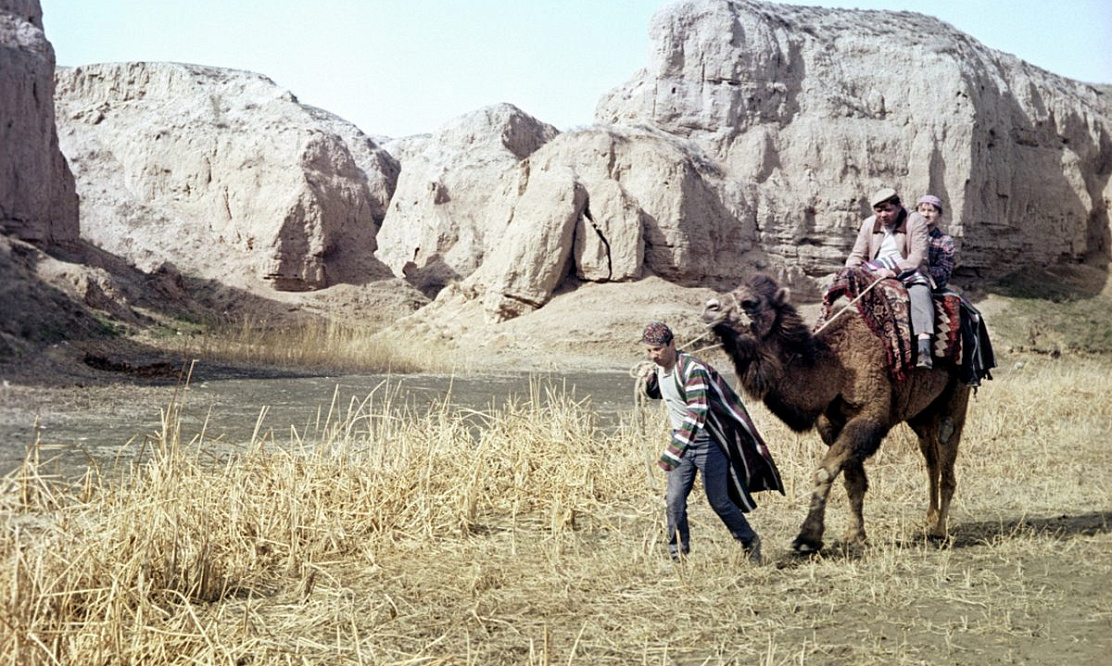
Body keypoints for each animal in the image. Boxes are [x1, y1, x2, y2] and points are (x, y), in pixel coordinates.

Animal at [702, 271, 974, 551]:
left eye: (750, 302)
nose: (710, 308)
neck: (837, 369)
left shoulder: (867, 417)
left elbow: (825, 471)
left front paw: (808, 538)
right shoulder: (832, 424)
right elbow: (853, 481)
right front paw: (854, 537)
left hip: (957, 394)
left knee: (946, 450)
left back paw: (939, 531)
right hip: (921, 413)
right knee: (930, 456)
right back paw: (929, 518)